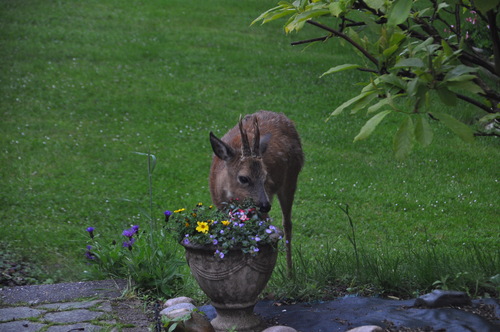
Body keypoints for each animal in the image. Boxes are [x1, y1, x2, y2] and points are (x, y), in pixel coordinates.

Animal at [208, 111, 302, 272]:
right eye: (243, 178)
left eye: (265, 176)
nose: (265, 205)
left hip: (291, 177)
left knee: (287, 223)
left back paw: (290, 273)